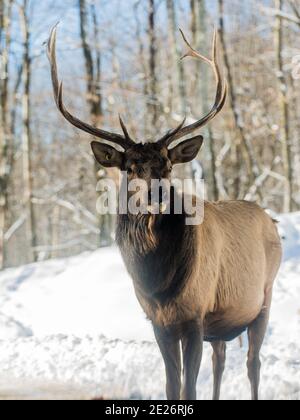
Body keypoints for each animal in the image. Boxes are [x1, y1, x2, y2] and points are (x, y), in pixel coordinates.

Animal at [47, 26, 282, 400]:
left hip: (264, 296)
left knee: (252, 364)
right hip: (222, 320)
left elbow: (189, 388)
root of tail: (271, 221)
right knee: (221, 358)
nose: (155, 195)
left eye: (168, 165)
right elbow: (172, 385)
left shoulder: (195, 313)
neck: (159, 284)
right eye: (129, 167)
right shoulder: (159, 321)